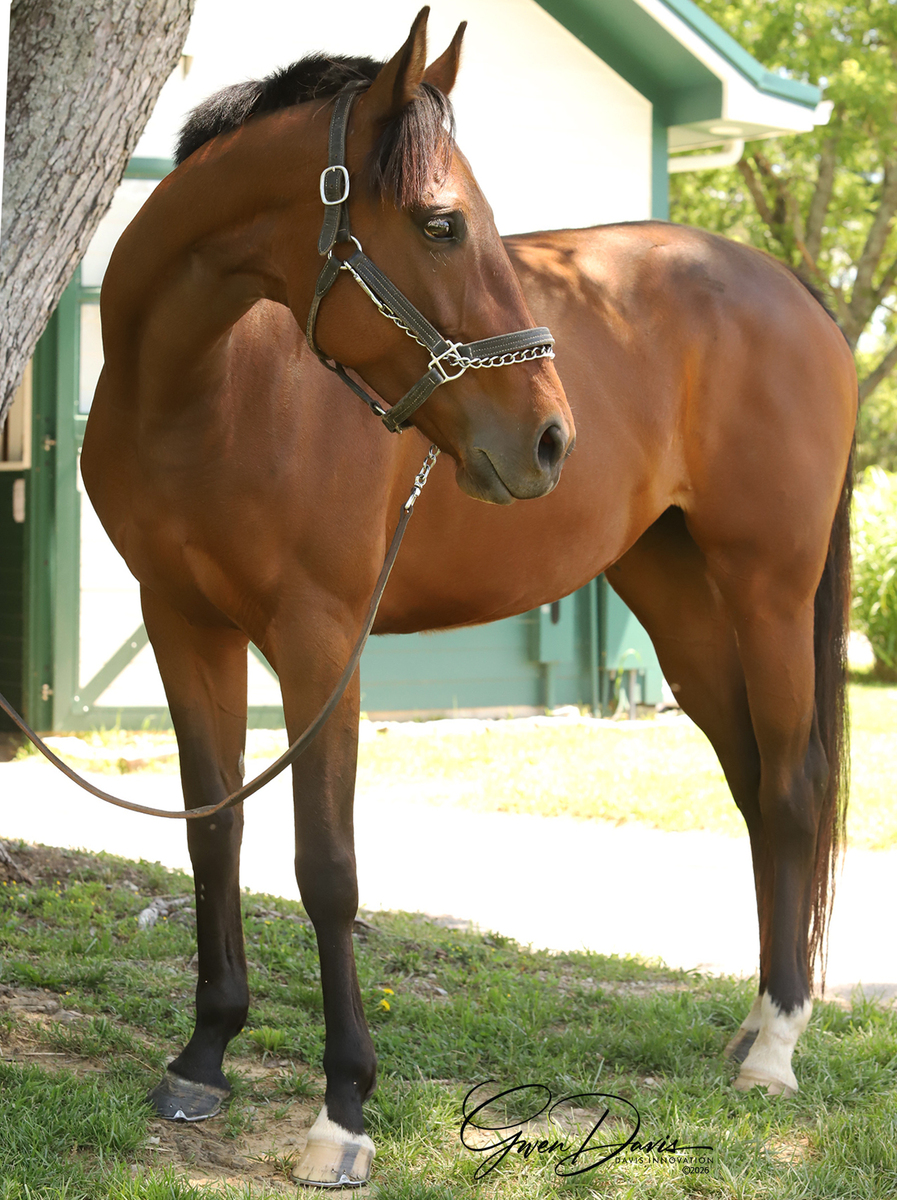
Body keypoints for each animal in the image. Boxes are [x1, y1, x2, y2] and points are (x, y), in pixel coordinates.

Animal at [80, 9, 857, 1189]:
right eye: (442, 223)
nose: (548, 438)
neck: (211, 383)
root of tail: (791, 289)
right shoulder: (180, 622)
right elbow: (215, 833)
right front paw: (204, 1056)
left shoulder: (319, 642)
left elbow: (327, 868)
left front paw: (342, 1113)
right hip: (676, 596)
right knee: (753, 784)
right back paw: (756, 1023)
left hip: (766, 586)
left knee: (794, 786)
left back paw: (774, 1047)